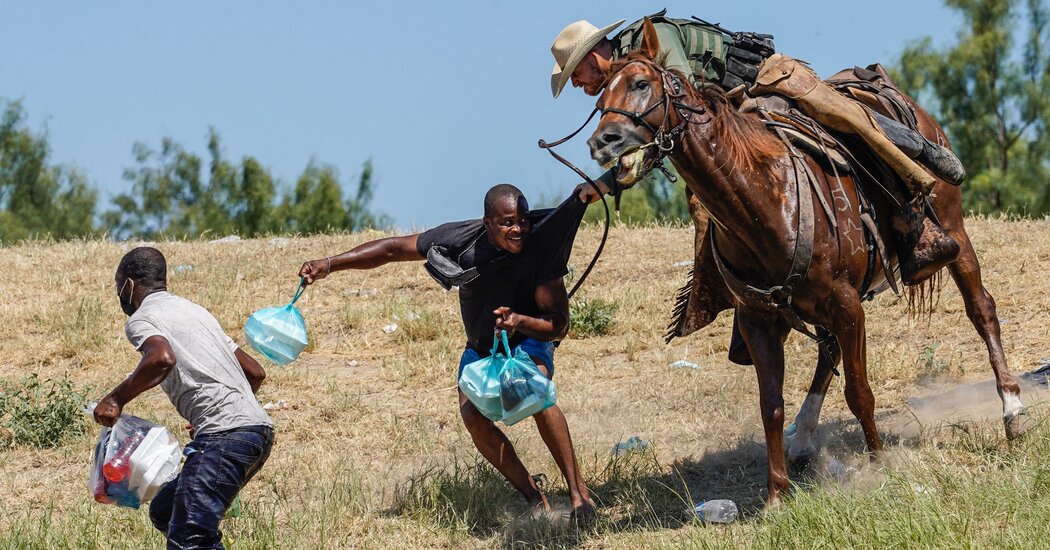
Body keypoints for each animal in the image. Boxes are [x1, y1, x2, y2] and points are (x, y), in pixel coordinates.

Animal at [592, 19, 1033, 505]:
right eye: (600, 98)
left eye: (640, 84)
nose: (602, 141)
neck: (763, 198)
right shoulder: (760, 319)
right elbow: (771, 405)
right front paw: (775, 495)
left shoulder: (845, 303)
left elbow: (859, 391)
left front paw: (880, 465)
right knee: (828, 352)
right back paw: (803, 438)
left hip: (953, 230)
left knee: (981, 308)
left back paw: (1012, 408)